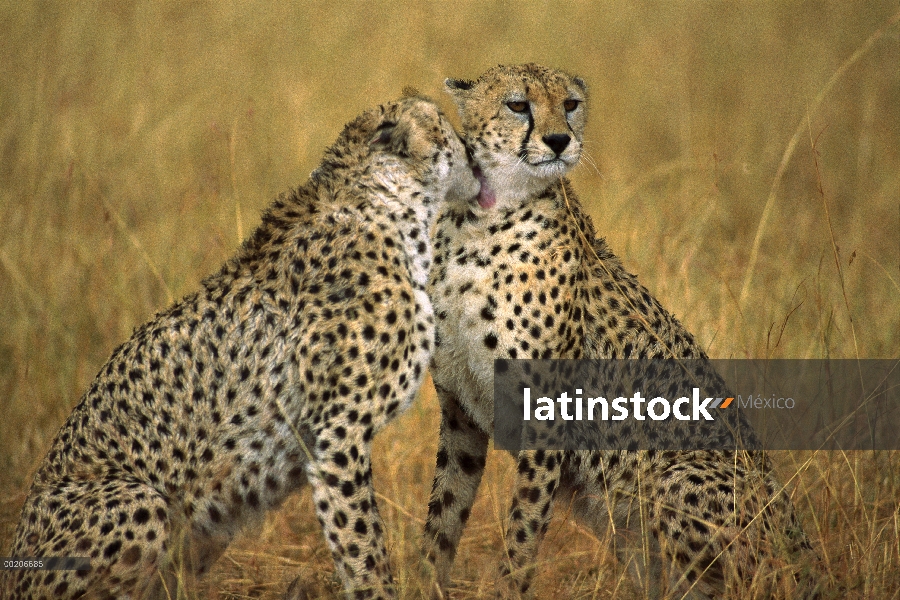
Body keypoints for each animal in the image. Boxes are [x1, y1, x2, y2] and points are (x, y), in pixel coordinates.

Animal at [3, 95, 482, 600]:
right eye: (446, 125)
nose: (473, 152)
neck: (389, 204)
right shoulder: (335, 437)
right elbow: (363, 548)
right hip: (143, 500)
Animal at [420, 63, 816, 596]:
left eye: (569, 104)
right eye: (518, 104)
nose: (559, 140)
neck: (483, 219)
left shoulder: (548, 419)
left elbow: (522, 533)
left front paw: (505, 589)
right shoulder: (460, 413)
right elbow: (443, 521)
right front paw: (418, 583)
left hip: (679, 478)